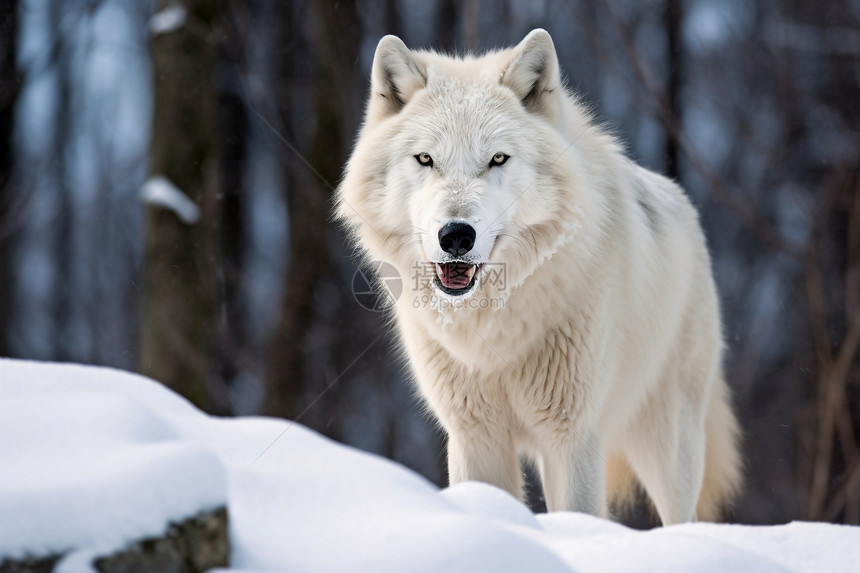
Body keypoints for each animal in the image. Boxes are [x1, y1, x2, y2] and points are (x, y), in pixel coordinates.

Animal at [336, 30, 740, 524]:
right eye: (426, 159)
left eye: (497, 159)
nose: (456, 236)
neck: (493, 326)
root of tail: (682, 203)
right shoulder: (475, 435)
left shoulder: (573, 435)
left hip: (667, 444)